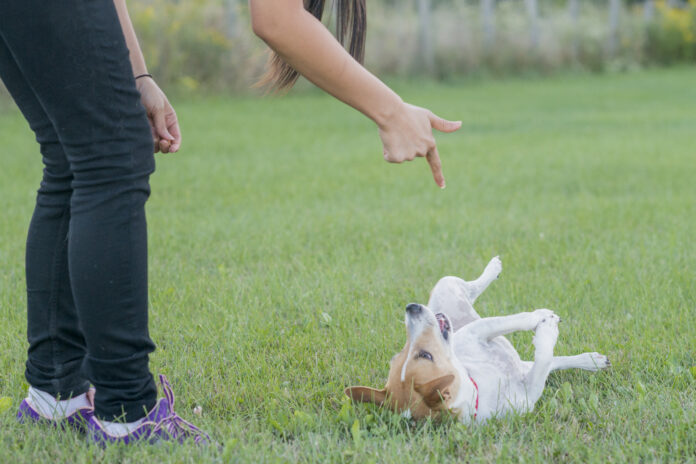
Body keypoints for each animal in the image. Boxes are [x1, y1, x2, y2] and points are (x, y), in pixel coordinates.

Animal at [346, 256, 608, 422]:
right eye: (426, 355)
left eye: (399, 355)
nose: (411, 308)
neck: (478, 386)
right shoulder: (529, 390)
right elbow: (543, 356)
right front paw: (546, 323)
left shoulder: (476, 331)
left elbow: (514, 324)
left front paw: (588, 359)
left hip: (446, 284)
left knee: (472, 286)